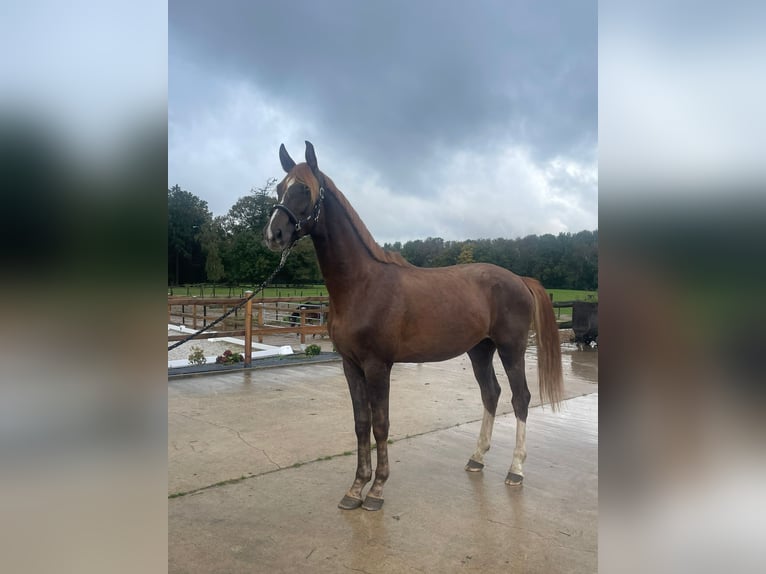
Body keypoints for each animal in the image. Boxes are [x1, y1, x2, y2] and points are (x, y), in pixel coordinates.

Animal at [264, 142, 564, 510]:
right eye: (280, 187)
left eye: (304, 189)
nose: (274, 234)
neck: (361, 285)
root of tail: (519, 279)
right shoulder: (350, 365)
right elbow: (361, 423)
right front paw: (355, 489)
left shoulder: (378, 365)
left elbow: (381, 424)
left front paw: (376, 490)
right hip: (480, 350)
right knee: (490, 394)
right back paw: (477, 458)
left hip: (511, 348)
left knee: (520, 398)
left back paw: (515, 470)